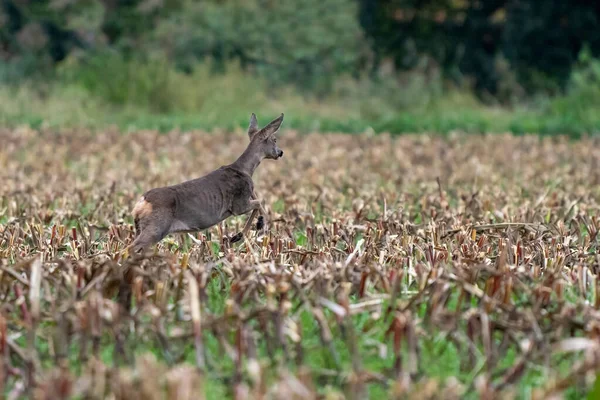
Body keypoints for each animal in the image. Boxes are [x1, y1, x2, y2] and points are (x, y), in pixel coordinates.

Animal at [127, 112, 286, 253]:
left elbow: (259, 203)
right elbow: (260, 203)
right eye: (275, 139)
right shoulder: (238, 203)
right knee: (131, 248)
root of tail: (141, 202)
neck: (246, 170)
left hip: (140, 227)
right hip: (157, 226)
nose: (281, 152)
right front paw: (248, 231)